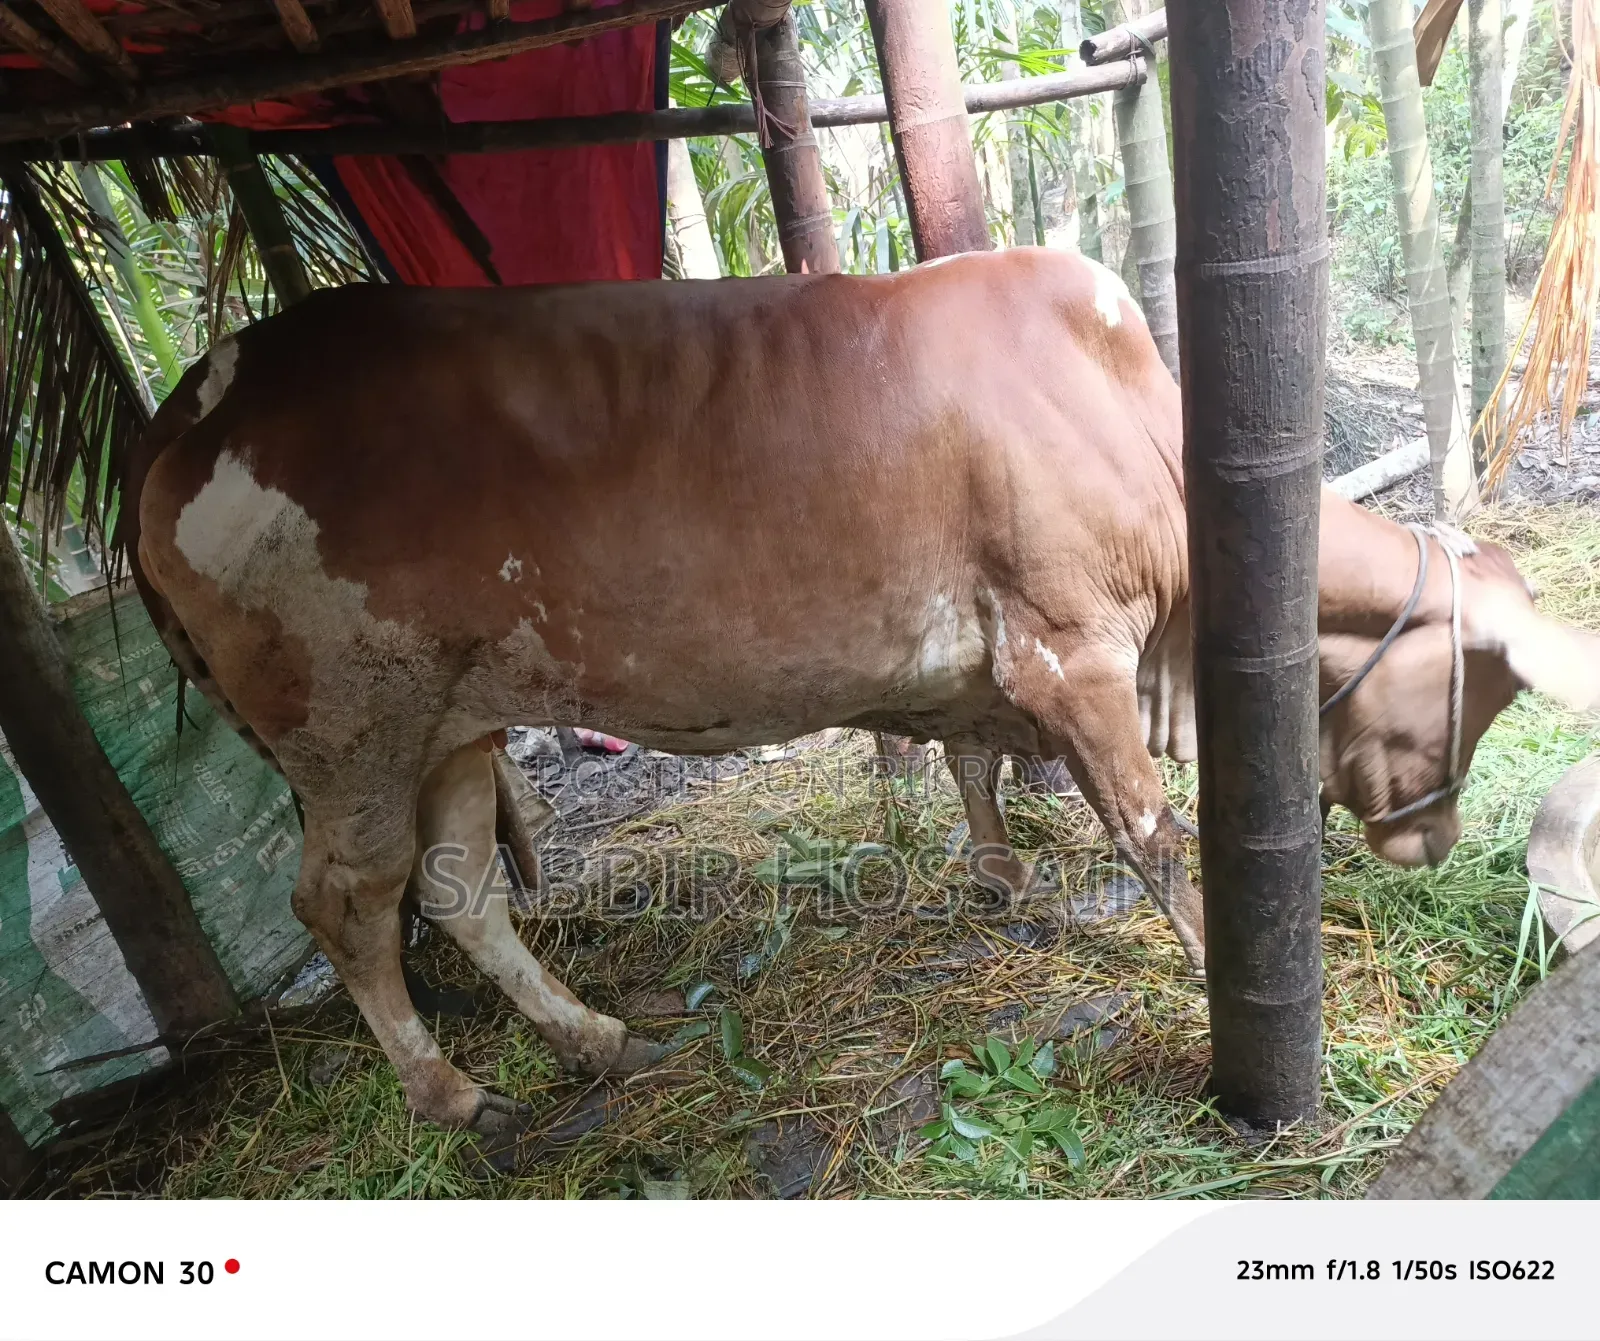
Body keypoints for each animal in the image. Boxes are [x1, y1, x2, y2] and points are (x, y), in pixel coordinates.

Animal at [123, 248, 1600, 1146]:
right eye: (1479, 690)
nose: (1432, 840)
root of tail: (192, 404)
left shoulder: (990, 676)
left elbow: (974, 769)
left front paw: (1001, 882)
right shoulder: (1072, 654)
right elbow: (1149, 828)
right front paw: (1214, 965)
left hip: (454, 721)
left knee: (459, 888)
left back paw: (591, 1036)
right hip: (349, 729)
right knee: (347, 907)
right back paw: (447, 1087)